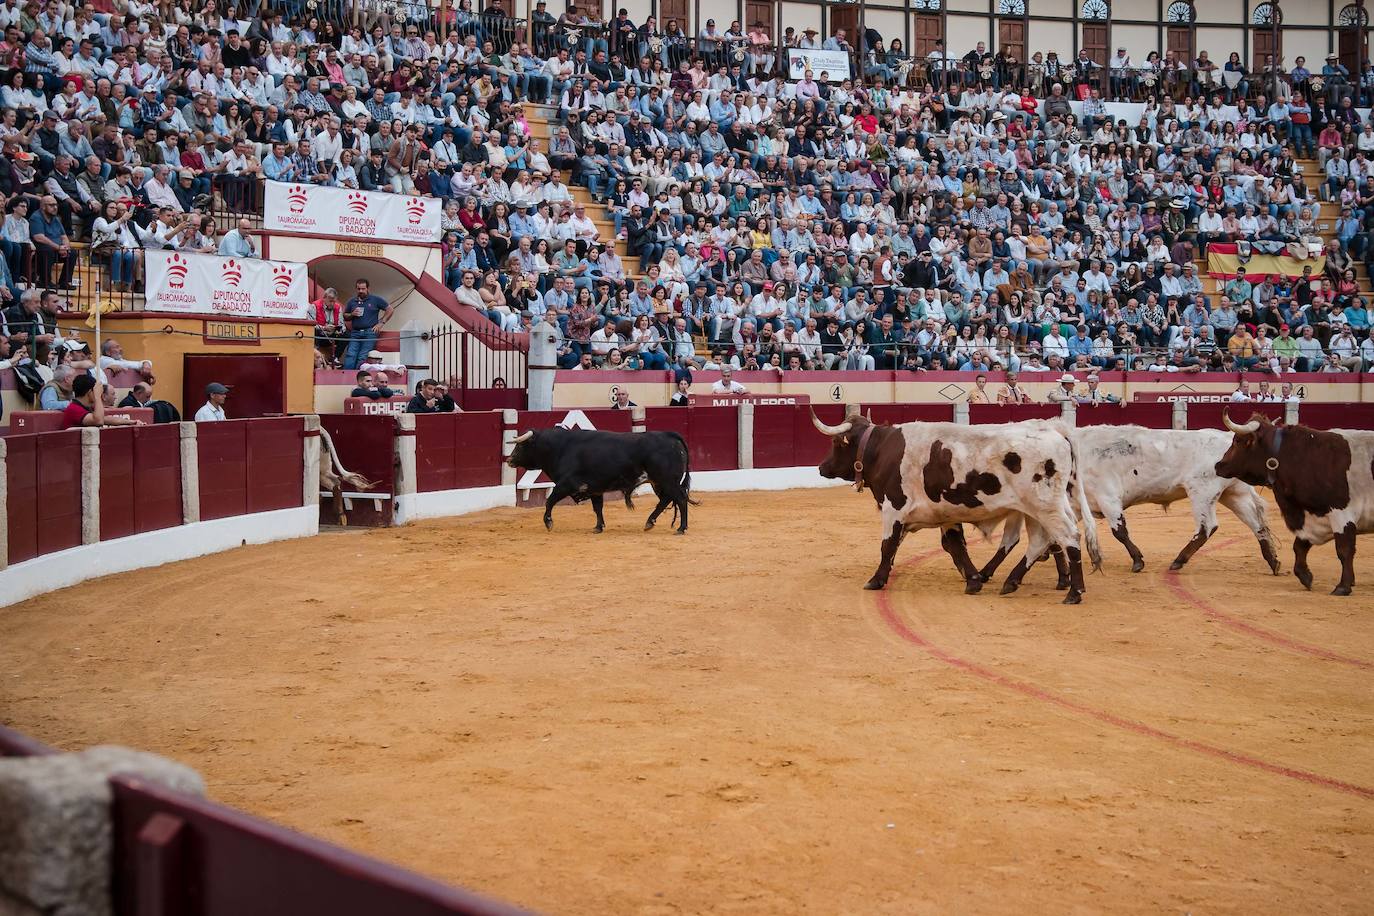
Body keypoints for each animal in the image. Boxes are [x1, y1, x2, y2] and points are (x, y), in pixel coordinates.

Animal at [505, 428, 697, 532]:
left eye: (521, 445)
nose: (509, 460)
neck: (560, 448)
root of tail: (669, 435)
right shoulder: (595, 488)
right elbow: (597, 508)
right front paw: (599, 527)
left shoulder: (566, 484)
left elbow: (549, 501)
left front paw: (548, 523)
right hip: (659, 483)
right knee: (666, 500)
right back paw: (649, 522)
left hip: (667, 481)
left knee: (680, 499)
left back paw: (681, 528)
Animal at [807, 411, 1099, 604]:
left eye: (835, 443)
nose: (821, 467)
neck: (882, 450)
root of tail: (1054, 430)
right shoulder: (945, 513)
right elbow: (955, 546)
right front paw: (973, 580)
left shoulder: (894, 508)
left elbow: (887, 546)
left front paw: (876, 580)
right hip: (1035, 510)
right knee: (1038, 541)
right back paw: (1012, 581)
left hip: (1045, 505)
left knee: (1068, 537)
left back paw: (1074, 592)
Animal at [1214, 414, 1374, 596]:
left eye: (1238, 440)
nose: (1218, 465)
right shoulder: (1312, 517)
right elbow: (1299, 546)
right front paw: (1305, 576)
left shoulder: (1341, 513)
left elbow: (1344, 550)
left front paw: (1343, 586)